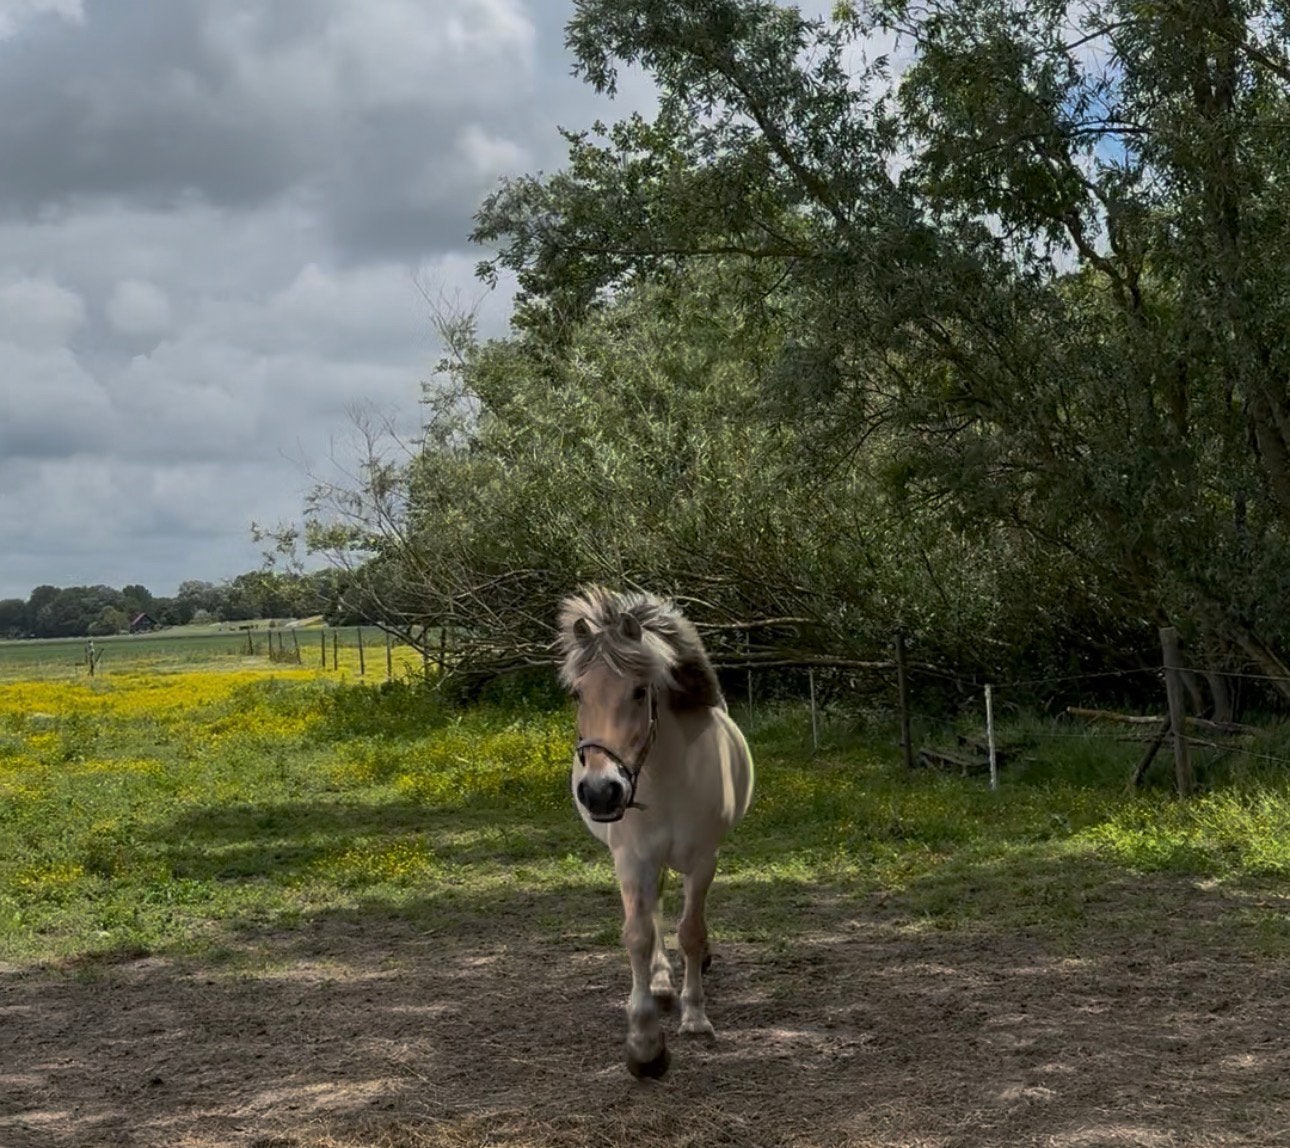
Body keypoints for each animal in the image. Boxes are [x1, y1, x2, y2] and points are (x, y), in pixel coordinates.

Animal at [557, 586, 755, 1078]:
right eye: (577, 693)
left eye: (639, 690)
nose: (601, 792)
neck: (665, 778)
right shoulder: (631, 860)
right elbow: (638, 935)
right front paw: (645, 1043)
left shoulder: (704, 859)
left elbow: (692, 931)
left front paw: (696, 1016)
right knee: (655, 911)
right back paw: (663, 983)